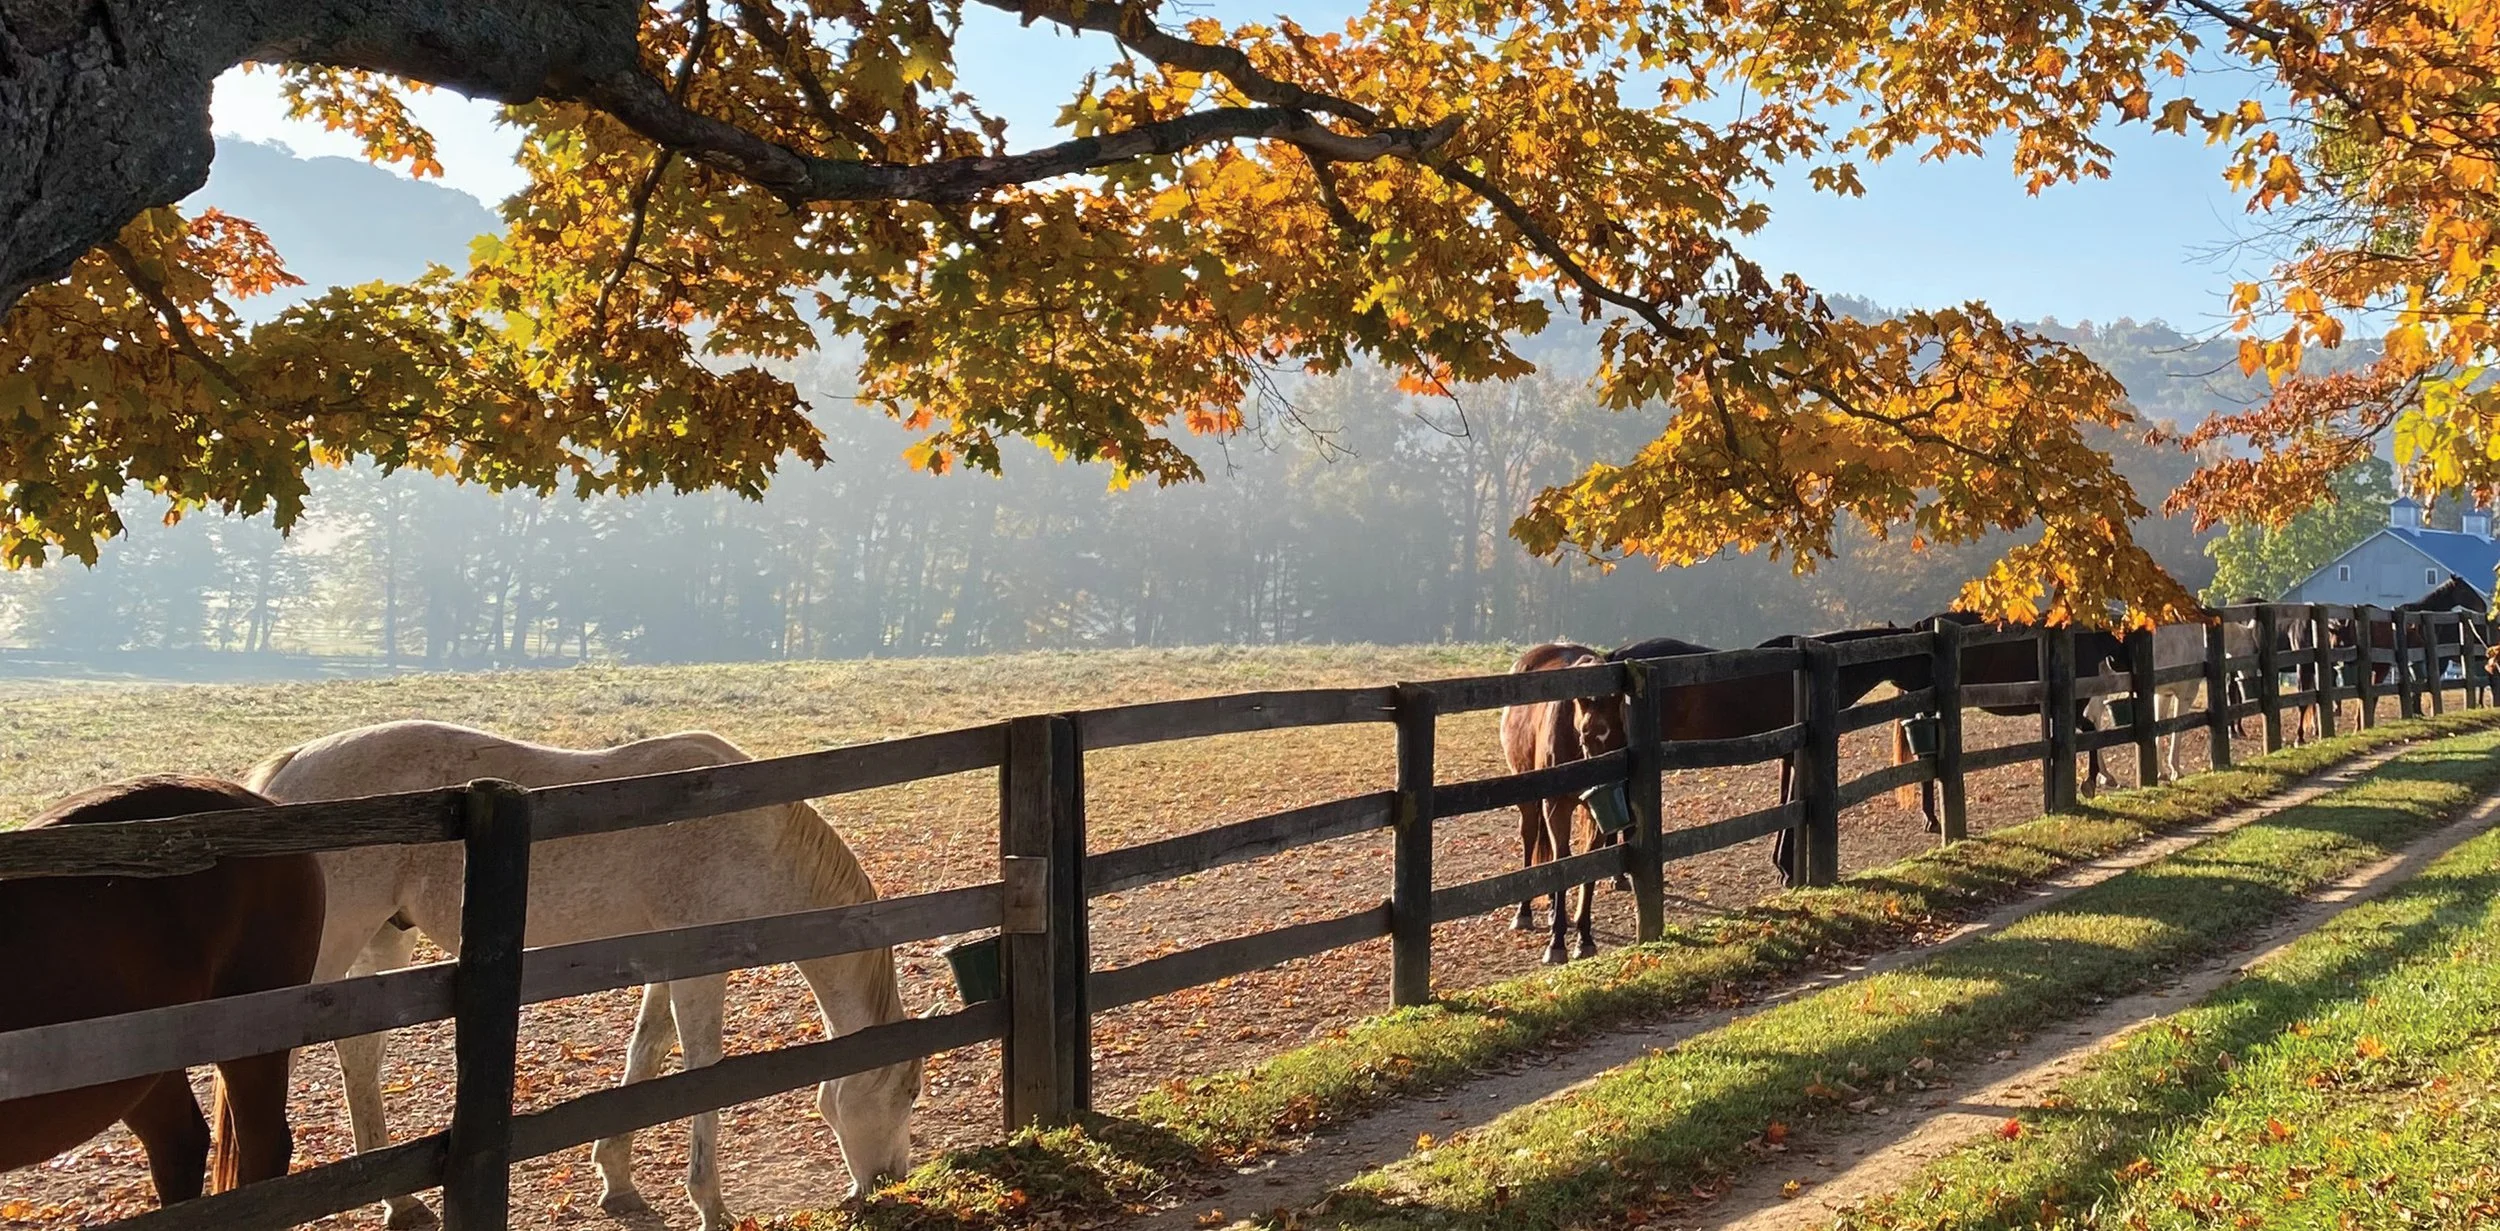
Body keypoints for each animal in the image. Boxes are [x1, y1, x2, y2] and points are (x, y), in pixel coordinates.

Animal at [246, 721, 926, 1231]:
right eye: (909, 1092)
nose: (892, 1182)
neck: (746, 827)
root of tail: (286, 773)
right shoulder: (700, 967)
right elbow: (702, 1067)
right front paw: (710, 1204)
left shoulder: (665, 963)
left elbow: (647, 1051)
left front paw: (617, 1179)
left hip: (384, 940)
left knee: (360, 1056)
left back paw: (402, 1202)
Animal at [1497, 643, 1627, 965]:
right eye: (1587, 736)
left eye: (1622, 734)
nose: (1608, 782)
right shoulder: (1556, 807)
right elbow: (1562, 861)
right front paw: (1556, 943)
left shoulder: (1594, 815)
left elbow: (1586, 866)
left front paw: (1584, 938)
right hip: (1529, 797)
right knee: (1531, 839)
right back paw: (1525, 912)